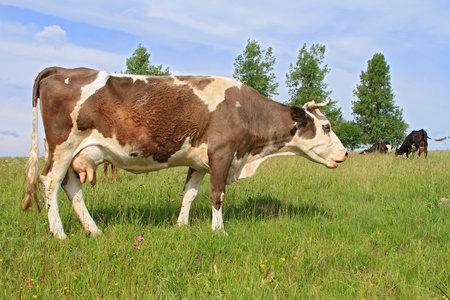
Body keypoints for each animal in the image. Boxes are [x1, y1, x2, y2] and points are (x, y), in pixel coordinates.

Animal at [22, 66, 348, 239]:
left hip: (71, 153)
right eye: (327, 126)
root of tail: (62, 70)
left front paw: (181, 225)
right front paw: (219, 231)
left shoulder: (200, 161)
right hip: (63, 146)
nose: (345, 153)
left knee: (71, 187)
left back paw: (94, 231)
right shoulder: (222, 153)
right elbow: (217, 195)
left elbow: (189, 193)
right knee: (50, 183)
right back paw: (59, 233)